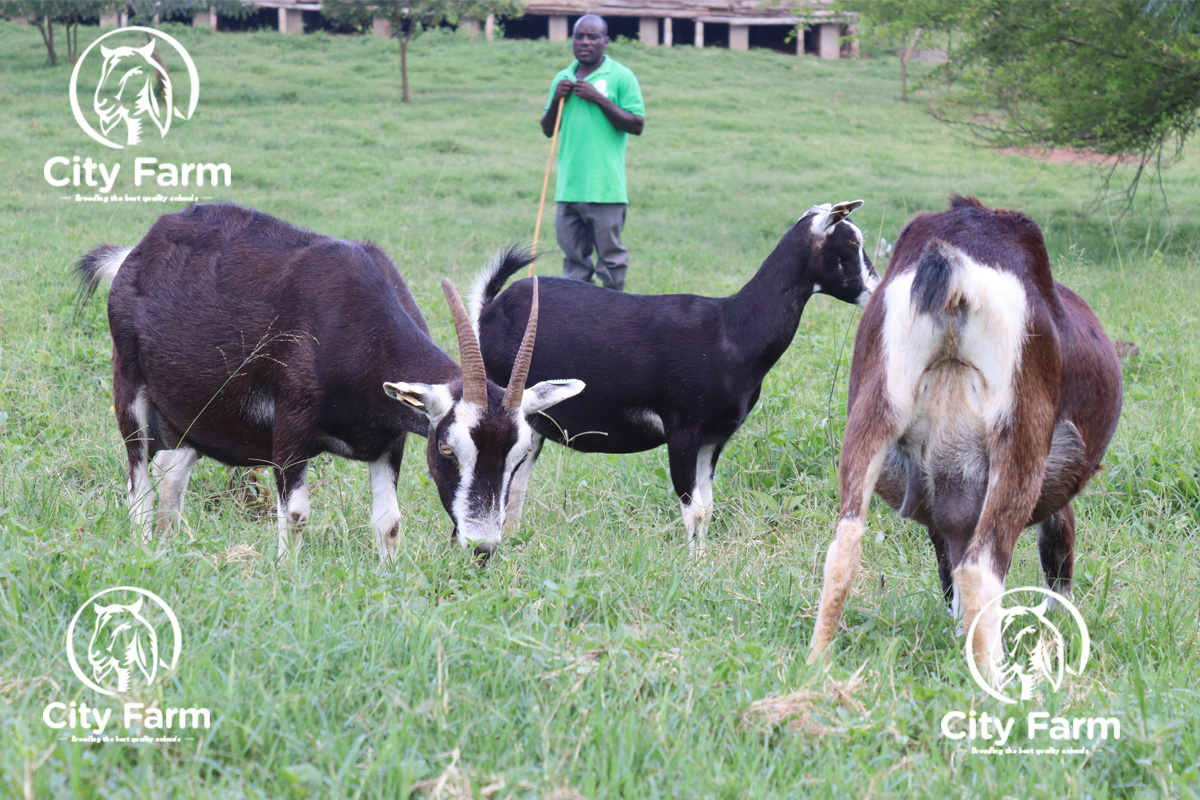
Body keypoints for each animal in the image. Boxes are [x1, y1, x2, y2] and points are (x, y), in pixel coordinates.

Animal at [75, 203, 583, 561]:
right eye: (446, 449)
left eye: (519, 457)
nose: (482, 548)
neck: (354, 323)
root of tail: (134, 254)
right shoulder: (290, 430)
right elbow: (298, 516)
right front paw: (288, 578)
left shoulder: (388, 439)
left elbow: (389, 522)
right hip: (132, 395)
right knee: (139, 486)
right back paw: (145, 551)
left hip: (196, 420)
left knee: (170, 475)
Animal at [473, 201, 879, 551]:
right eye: (851, 245)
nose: (875, 291)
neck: (731, 331)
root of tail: (489, 308)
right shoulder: (683, 430)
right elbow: (693, 508)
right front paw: (691, 564)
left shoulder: (714, 438)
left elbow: (708, 507)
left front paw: (702, 559)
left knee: (517, 483)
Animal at [806, 196, 1122, 685]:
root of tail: (958, 270)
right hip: (1019, 436)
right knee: (981, 568)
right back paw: (996, 681)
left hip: (874, 407)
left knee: (844, 546)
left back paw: (814, 666)